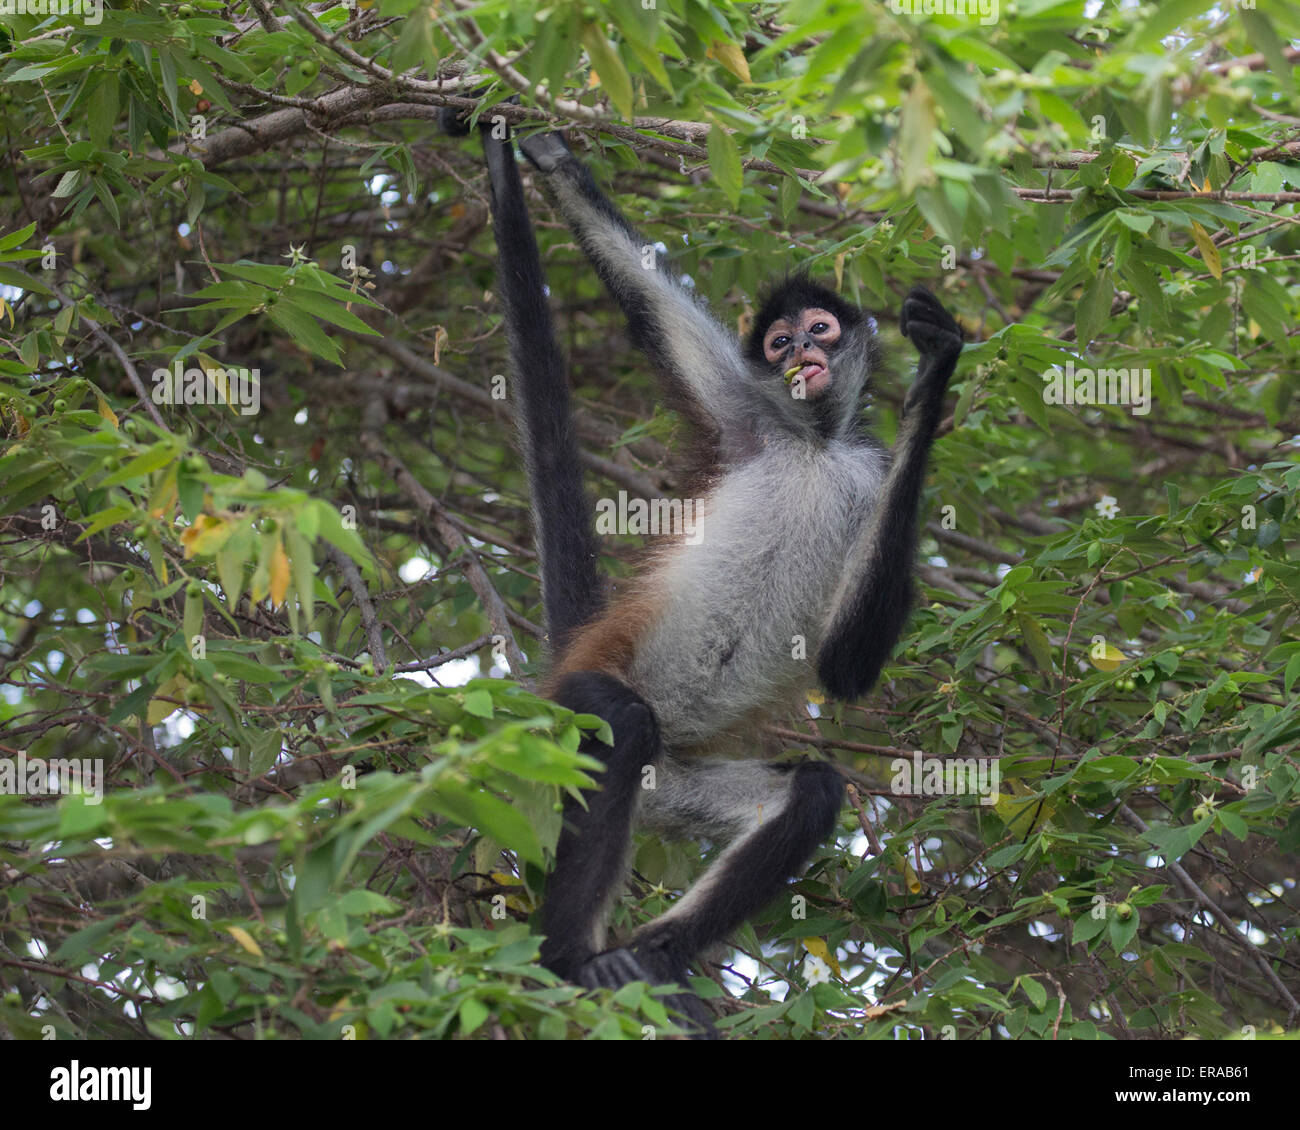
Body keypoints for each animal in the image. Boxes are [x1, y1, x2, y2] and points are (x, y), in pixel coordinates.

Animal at [441, 105, 961, 1029]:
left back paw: (652, 960)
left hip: (670, 785)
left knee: (808, 792)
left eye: (820, 329)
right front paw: (551, 159)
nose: (799, 356)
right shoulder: (747, 413)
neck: (814, 444)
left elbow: (844, 668)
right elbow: (649, 302)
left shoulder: (865, 477)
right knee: (623, 721)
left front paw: (935, 367)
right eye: (780, 339)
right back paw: (566, 958)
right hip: (573, 715)